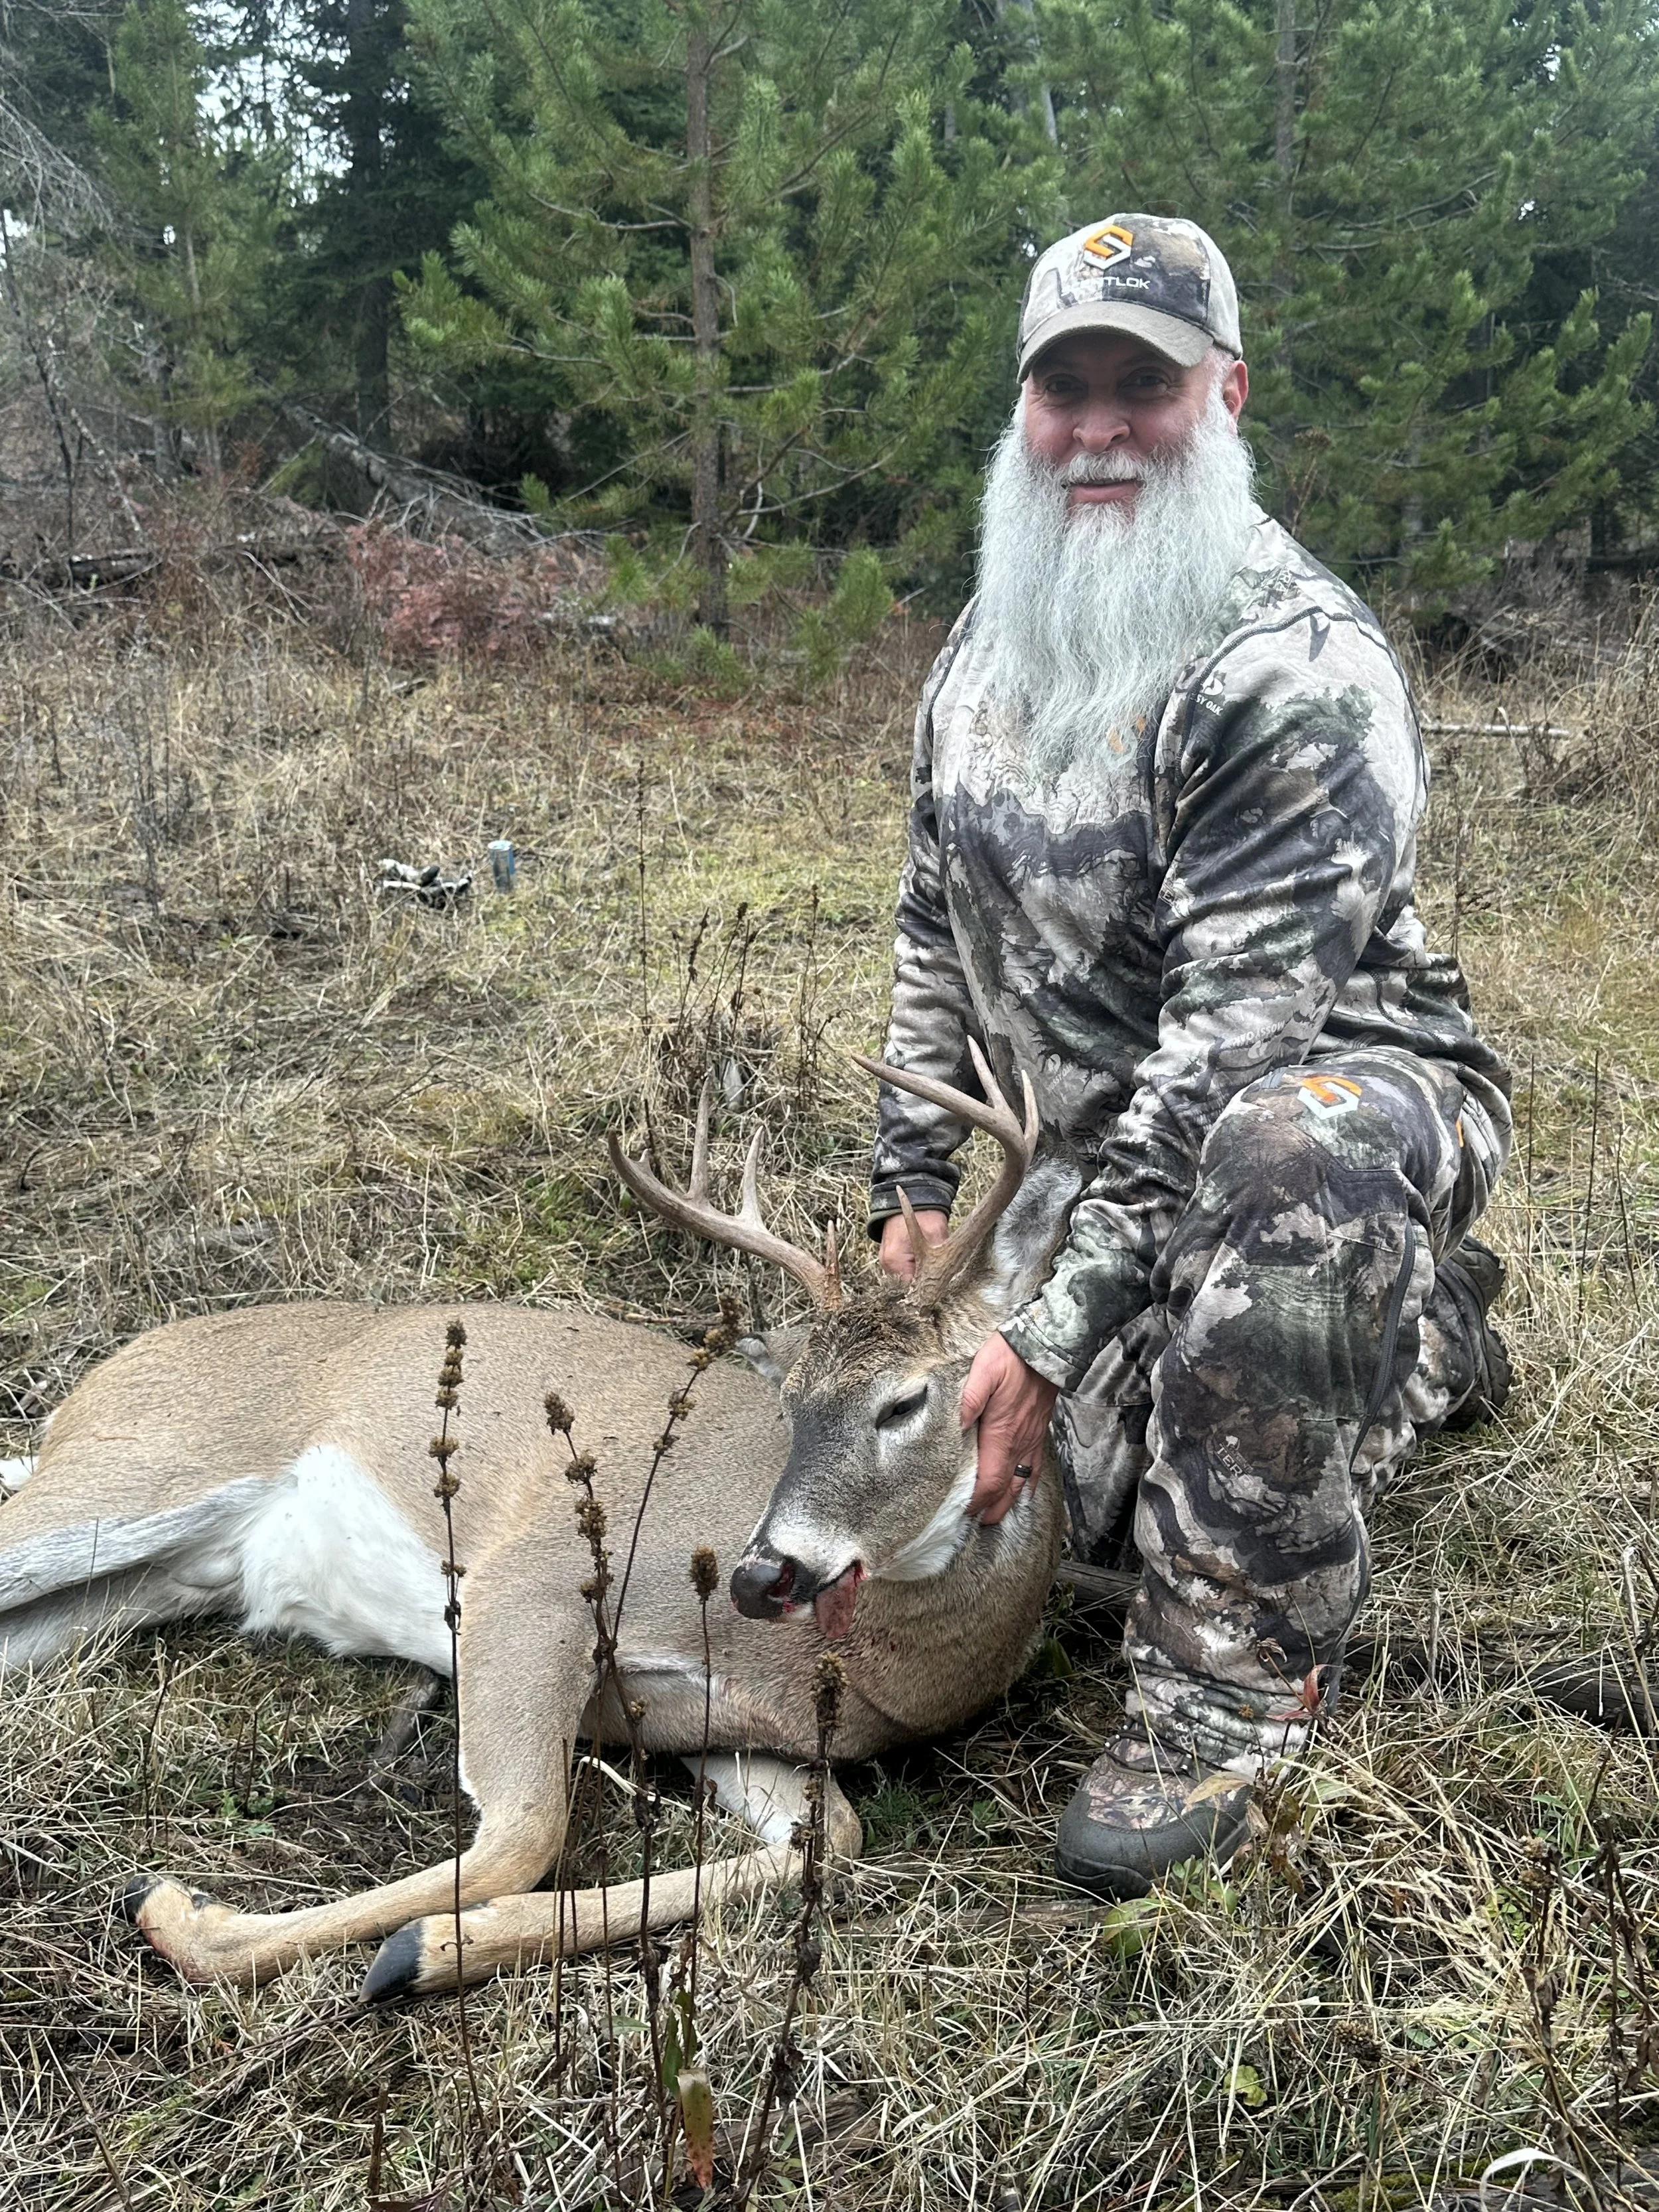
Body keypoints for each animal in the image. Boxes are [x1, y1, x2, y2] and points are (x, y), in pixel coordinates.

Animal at [0, 1047, 1070, 2001]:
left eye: (905, 1400)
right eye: (792, 1402)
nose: (761, 1573)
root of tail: (78, 1401)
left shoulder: (726, 1730)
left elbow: (829, 1842)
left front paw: (418, 1950)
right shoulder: (535, 1577)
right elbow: (524, 1833)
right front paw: (188, 1914)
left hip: (138, 1578)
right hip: (128, 1475)